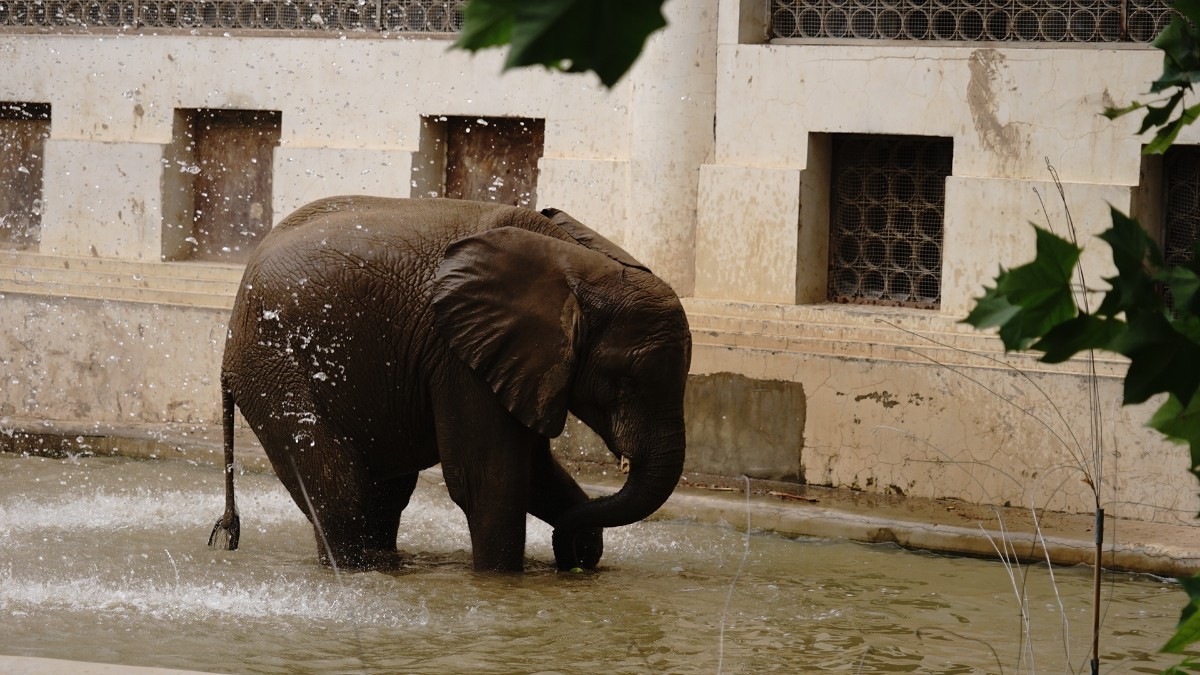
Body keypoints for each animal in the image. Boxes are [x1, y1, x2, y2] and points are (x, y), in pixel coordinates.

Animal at [209, 196, 691, 573]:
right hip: (273, 364)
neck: (576, 262)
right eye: (624, 383)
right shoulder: (461, 355)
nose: (571, 552)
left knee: (385, 495)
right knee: (341, 490)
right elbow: (488, 484)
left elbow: (534, 472)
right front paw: (501, 581)